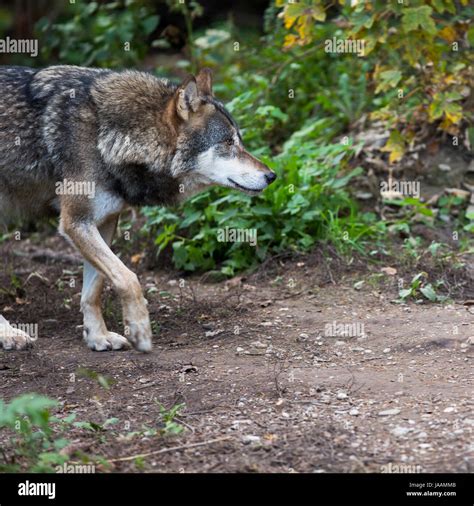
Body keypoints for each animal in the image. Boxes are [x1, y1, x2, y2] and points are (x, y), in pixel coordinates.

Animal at [0, 66, 276, 352]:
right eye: (228, 142)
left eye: (239, 140)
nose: (272, 176)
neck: (107, 136)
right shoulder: (75, 222)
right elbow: (128, 278)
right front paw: (140, 330)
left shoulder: (105, 221)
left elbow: (94, 290)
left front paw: (98, 337)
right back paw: (9, 334)